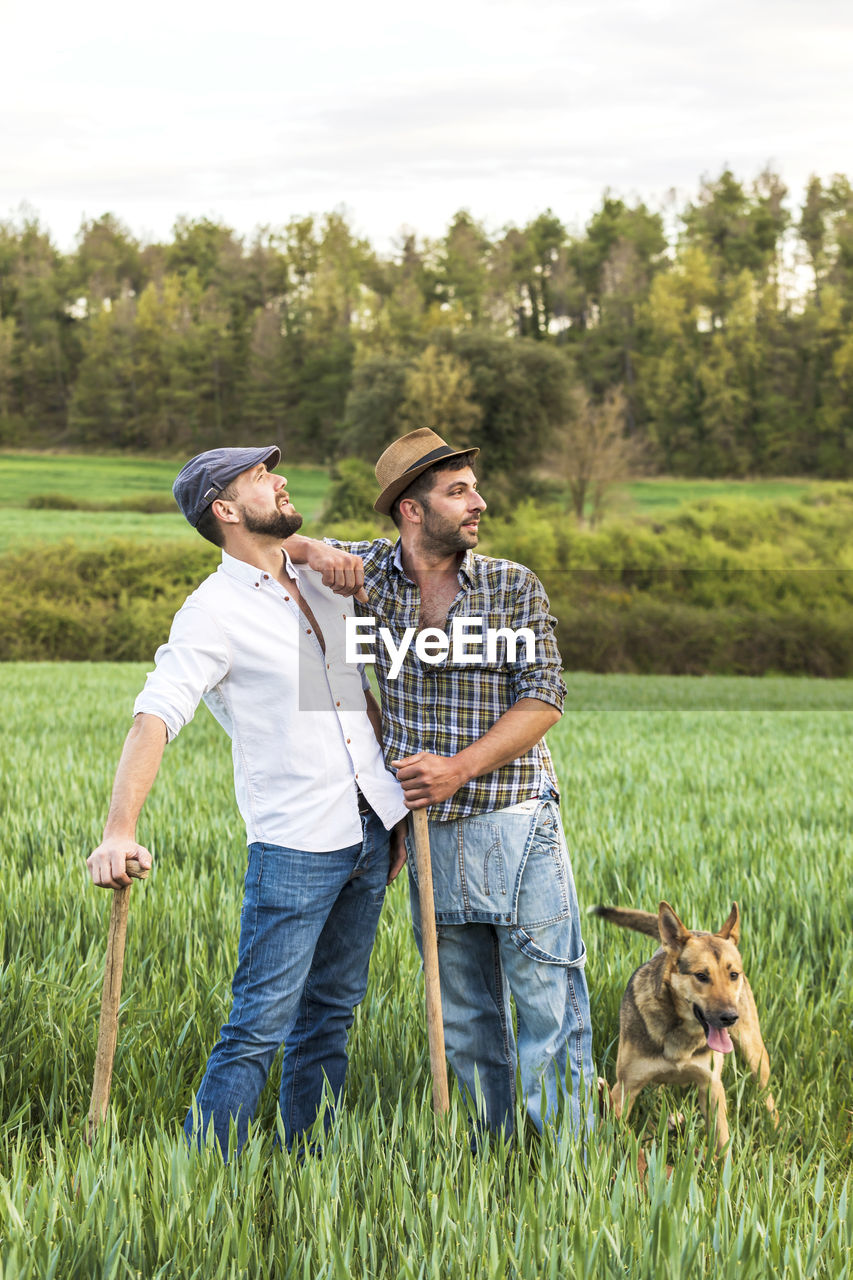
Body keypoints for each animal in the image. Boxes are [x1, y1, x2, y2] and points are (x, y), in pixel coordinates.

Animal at [591, 901, 778, 1152]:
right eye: (701, 975)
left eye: (733, 975)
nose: (730, 1017)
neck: (682, 1032)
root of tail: (700, 931)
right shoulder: (626, 1086)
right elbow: (610, 1127)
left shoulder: (711, 1087)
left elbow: (722, 1141)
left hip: (755, 1052)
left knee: (766, 1092)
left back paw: (776, 1129)